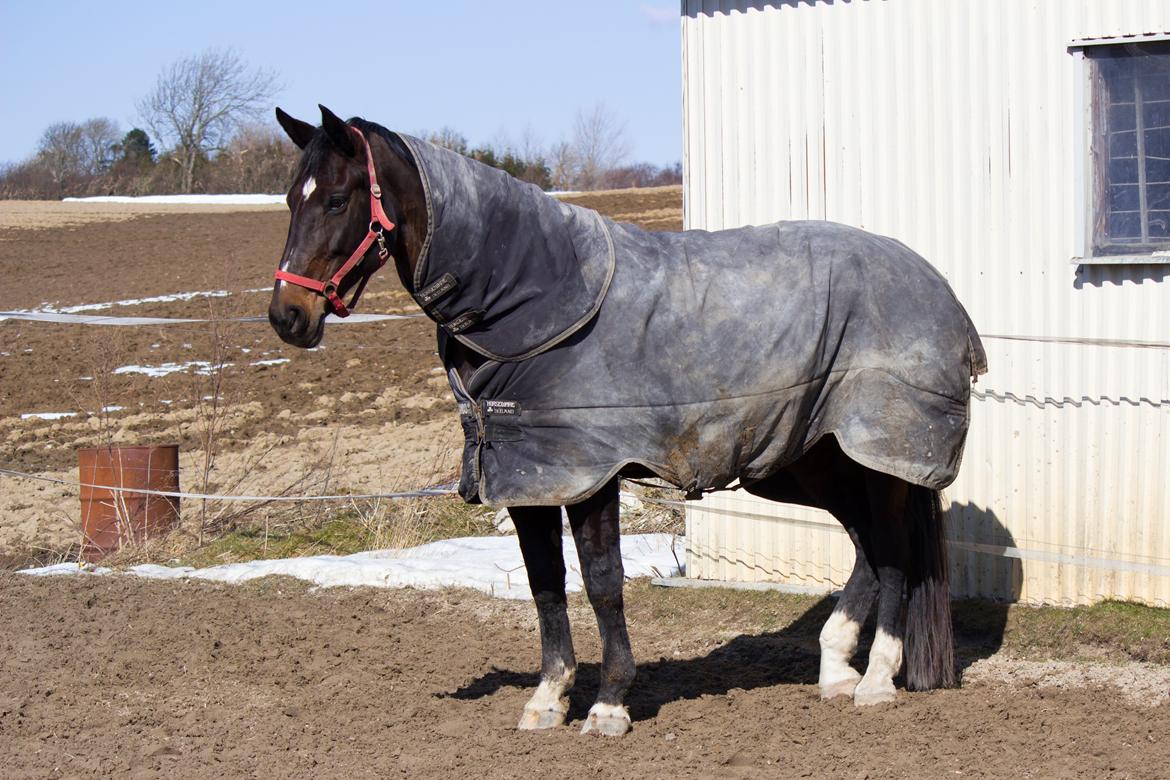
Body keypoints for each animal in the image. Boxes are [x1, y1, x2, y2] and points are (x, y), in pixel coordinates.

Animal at [267, 105, 987, 739]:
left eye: (337, 200)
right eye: (290, 200)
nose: (287, 317)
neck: (534, 301)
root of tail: (938, 287)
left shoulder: (591, 476)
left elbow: (603, 583)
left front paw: (609, 706)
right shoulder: (532, 476)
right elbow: (545, 586)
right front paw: (547, 701)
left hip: (883, 457)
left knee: (893, 552)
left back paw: (876, 682)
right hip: (812, 461)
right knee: (867, 547)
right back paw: (836, 669)